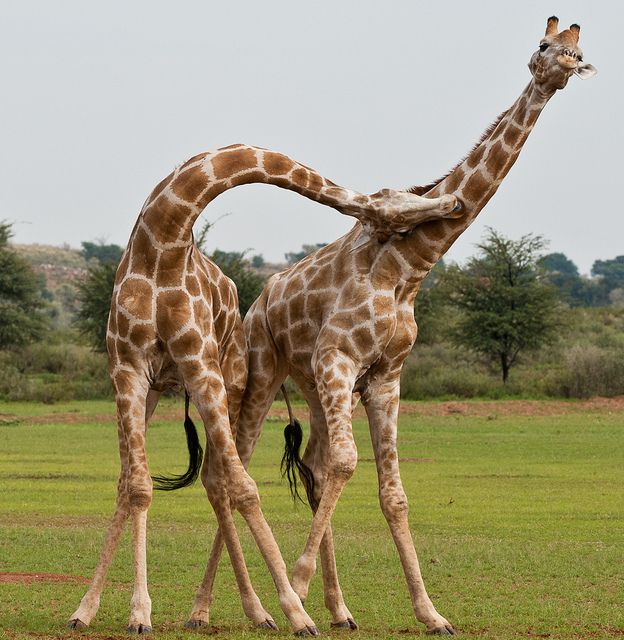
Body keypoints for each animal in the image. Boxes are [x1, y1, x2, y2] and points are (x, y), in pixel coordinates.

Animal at [67, 143, 460, 635]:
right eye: (398, 202)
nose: (452, 203)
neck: (162, 244)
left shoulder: (200, 363)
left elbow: (245, 487)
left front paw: (295, 611)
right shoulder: (126, 369)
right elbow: (139, 487)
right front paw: (132, 613)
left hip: (228, 382)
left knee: (219, 479)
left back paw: (255, 610)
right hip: (157, 390)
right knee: (136, 480)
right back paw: (93, 608)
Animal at [198, 17, 597, 636]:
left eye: (579, 49)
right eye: (543, 45)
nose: (567, 65)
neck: (411, 266)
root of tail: (261, 299)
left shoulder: (385, 376)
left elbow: (392, 493)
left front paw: (431, 613)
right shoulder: (340, 358)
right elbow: (348, 464)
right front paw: (300, 586)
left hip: (313, 383)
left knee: (315, 466)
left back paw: (338, 609)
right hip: (266, 370)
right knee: (235, 465)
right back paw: (226, 607)